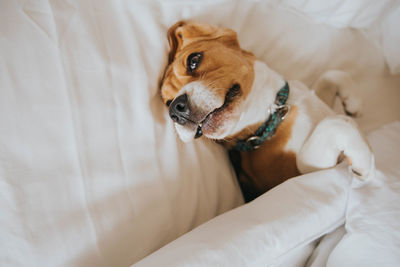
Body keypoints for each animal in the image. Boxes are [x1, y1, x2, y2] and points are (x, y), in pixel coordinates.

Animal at [159, 21, 376, 201]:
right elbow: (333, 124)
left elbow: (330, 76)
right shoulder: (302, 173)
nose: (176, 109)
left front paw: (353, 102)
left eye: (193, 60)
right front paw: (363, 160)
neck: (272, 117)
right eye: (167, 102)